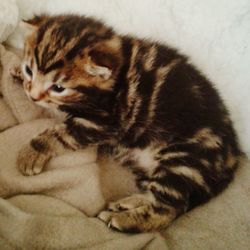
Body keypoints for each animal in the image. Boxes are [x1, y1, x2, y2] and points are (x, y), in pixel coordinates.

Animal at [18, 13, 244, 232]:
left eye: (58, 87)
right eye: (29, 70)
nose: (33, 96)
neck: (118, 74)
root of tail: (232, 157)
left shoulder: (102, 122)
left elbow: (58, 133)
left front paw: (32, 152)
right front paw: (17, 72)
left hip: (183, 160)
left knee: (168, 209)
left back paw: (123, 220)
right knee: (161, 197)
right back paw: (128, 203)